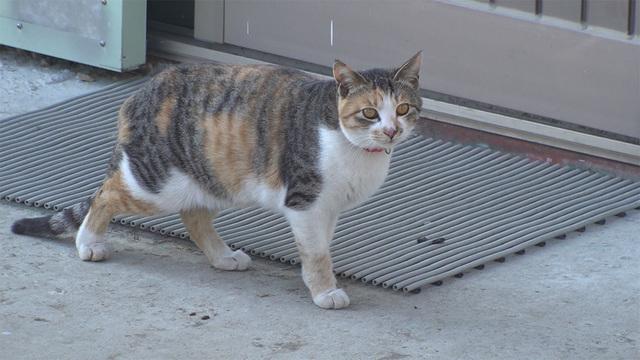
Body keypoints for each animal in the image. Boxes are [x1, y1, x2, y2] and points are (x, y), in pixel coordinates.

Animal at [12, 52, 422, 308]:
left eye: (403, 108)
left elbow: (322, 244)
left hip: (215, 178)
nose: (391, 131)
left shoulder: (330, 207)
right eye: (369, 113)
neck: (355, 149)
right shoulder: (306, 202)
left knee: (193, 215)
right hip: (157, 182)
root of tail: (138, 95)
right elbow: (317, 252)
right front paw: (325, 291)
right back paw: (89, 242)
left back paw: (223, 256)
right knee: (106, 192)